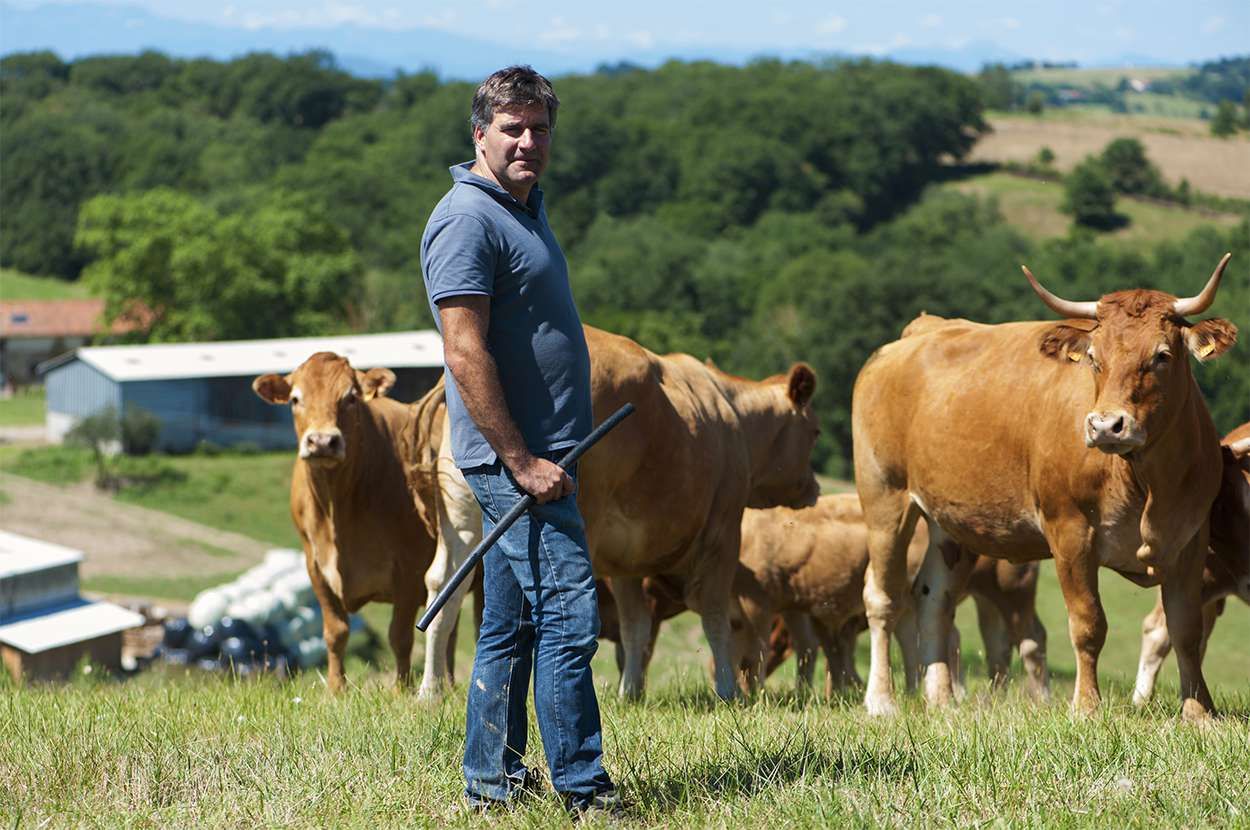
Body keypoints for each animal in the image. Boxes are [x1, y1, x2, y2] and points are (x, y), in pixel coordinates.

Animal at [251, 352, 442, 690]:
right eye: (295, 399)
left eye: (350, 397)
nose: (322, 441)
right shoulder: (315, 566)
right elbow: (335, 632)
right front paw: (336, 689)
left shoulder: (410, 569)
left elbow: (400, 637)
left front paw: (400, 689)